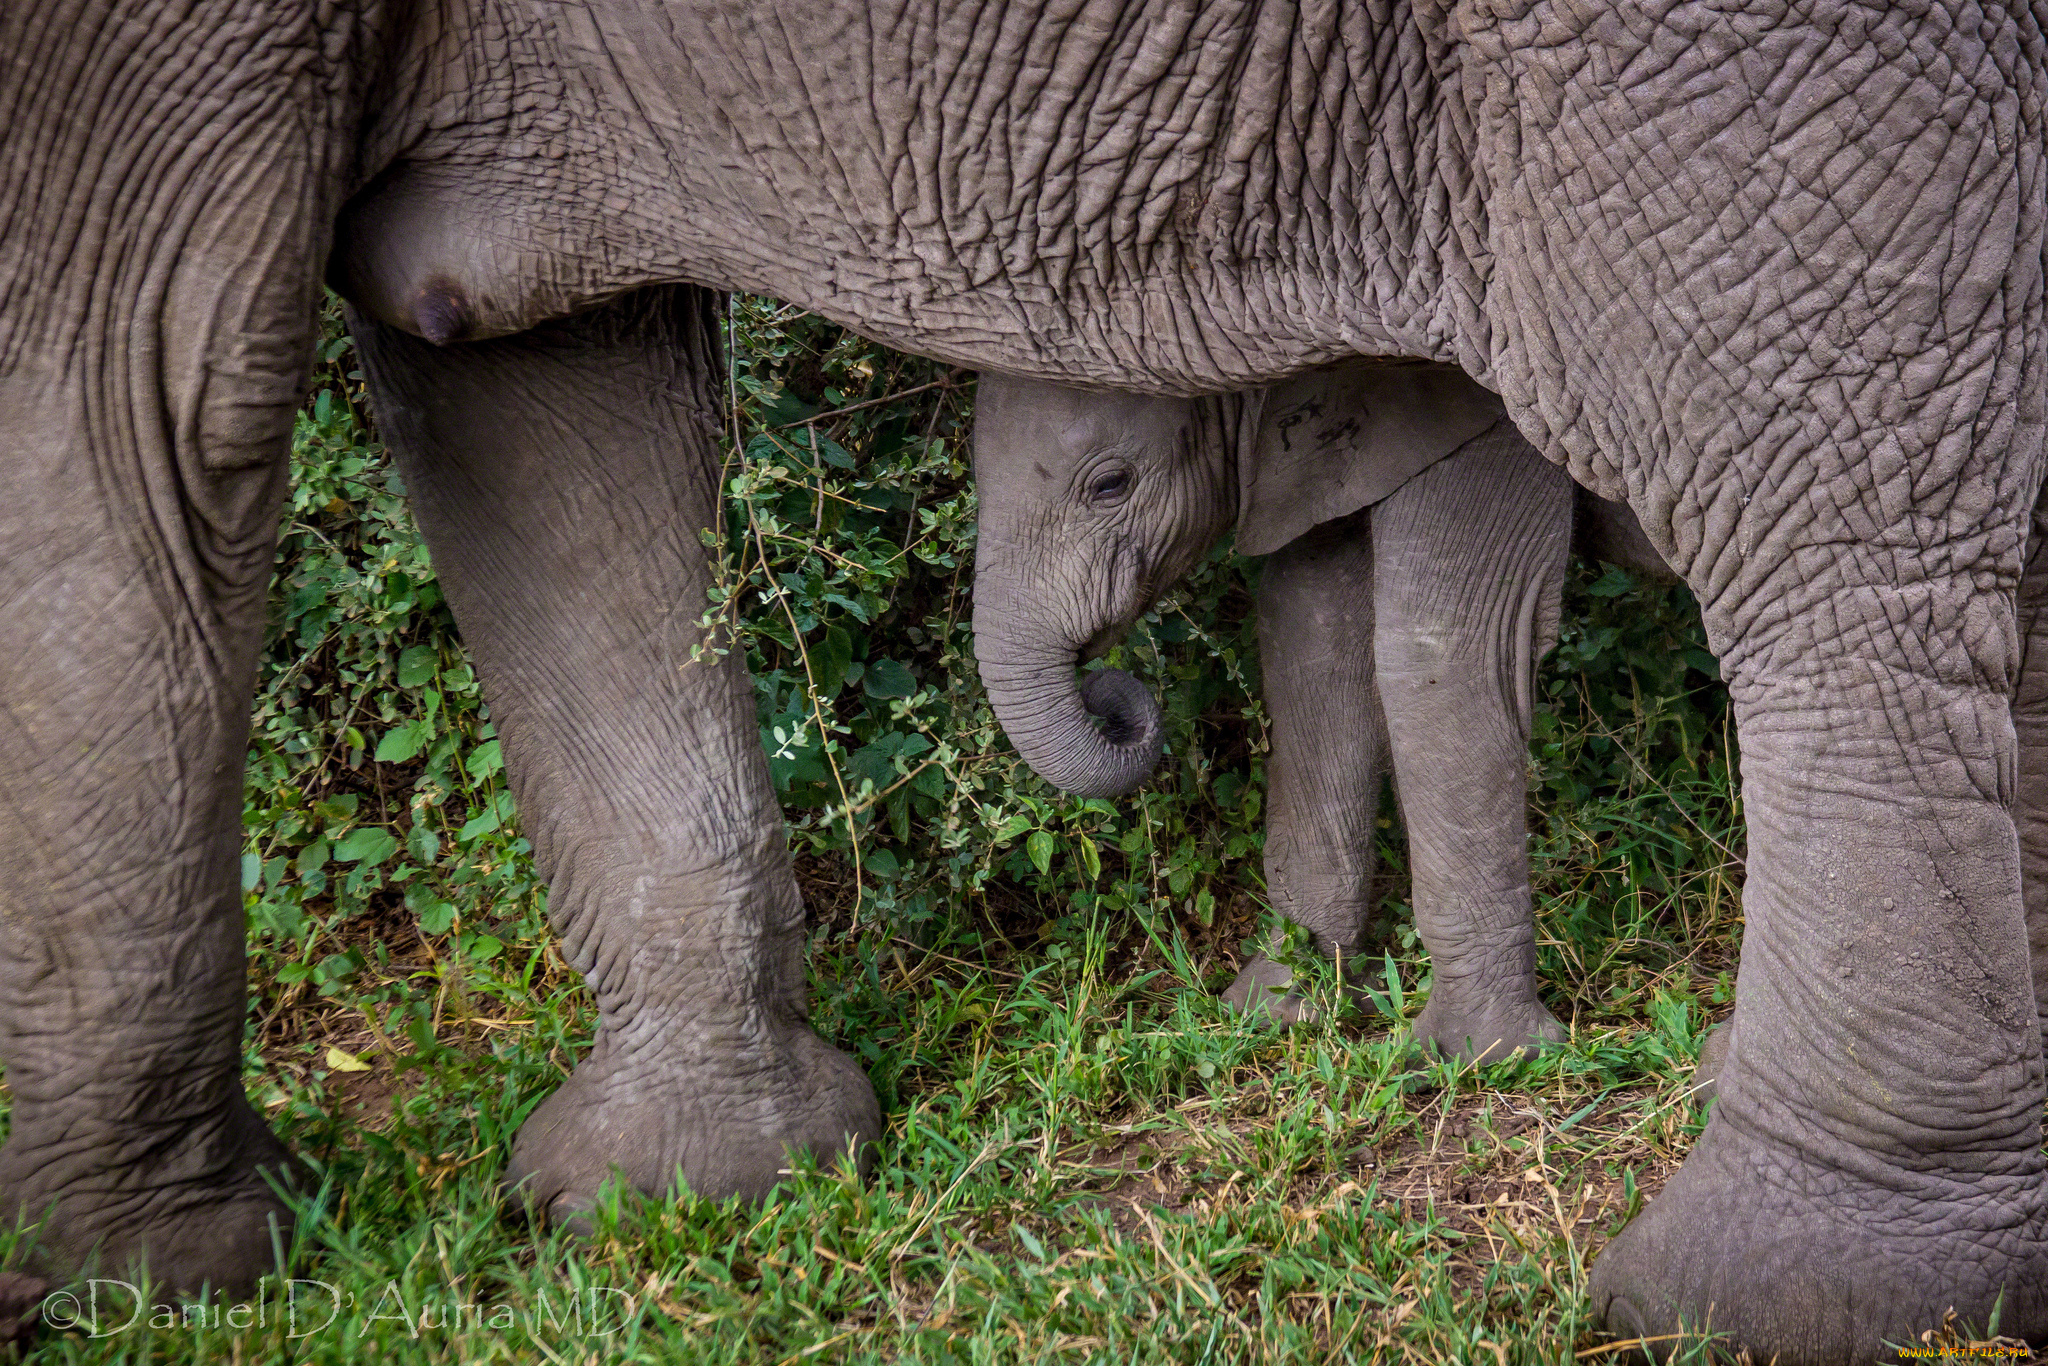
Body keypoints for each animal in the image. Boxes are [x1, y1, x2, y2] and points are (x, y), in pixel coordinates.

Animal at [970, 366, 1662, 1064]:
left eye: (1111, 485)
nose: (1108, 691)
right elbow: (1310, 630)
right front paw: (1274, 1007)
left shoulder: (1481, 426)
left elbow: (1441, 649)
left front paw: (1477, 1055)